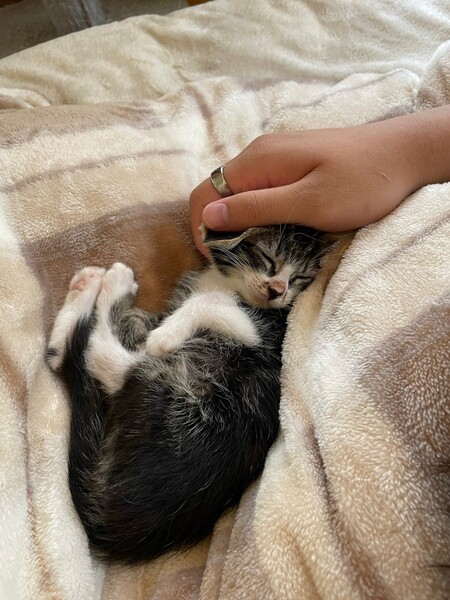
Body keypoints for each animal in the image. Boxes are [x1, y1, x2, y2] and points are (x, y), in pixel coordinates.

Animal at [46, 224, 335, 565]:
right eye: (268, 259)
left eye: (300, 278)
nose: (277, 290)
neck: (228, 283)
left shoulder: (260, 332)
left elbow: (208, 302)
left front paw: (165, 335)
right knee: (60, 356)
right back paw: (87, 288)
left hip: (176, 395)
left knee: (95, 355)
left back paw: (114, 287)